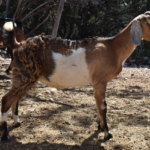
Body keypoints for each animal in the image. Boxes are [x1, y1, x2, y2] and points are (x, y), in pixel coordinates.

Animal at [0, 12, 150, 142]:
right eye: (148, 22)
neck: (113, 48)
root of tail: (19, 45)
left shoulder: (96, 82)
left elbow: (97, 103)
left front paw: (99, 127)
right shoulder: (100, 81)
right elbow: (103, 106)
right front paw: (107, 133)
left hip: (23, 77)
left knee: (15, 98)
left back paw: (17, 122)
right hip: (25, 75)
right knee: (6, 99)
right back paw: (5, 135)